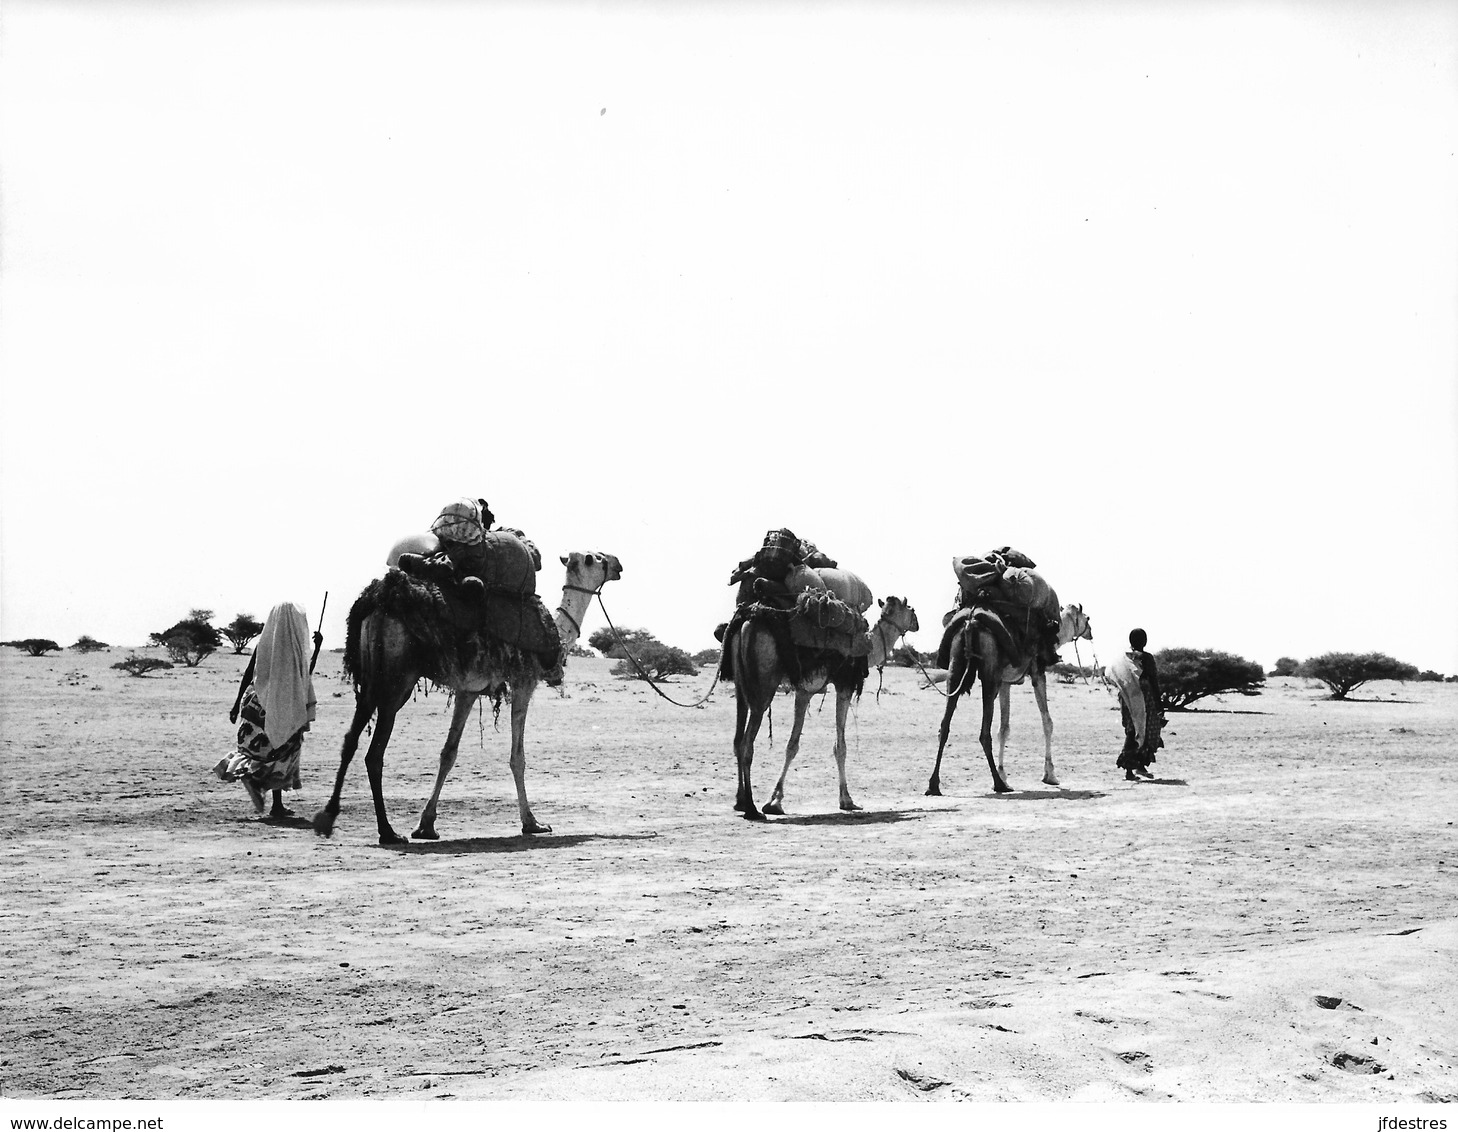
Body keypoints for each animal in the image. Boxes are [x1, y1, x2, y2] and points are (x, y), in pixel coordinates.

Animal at [313, 548, 621, 851]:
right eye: (597, 558)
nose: (618, 565)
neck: (556, 632)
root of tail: (377, 602)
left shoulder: (468, 690)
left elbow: (448, 752)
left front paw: (426, 826)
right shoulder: (524, 680)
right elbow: (517, 756)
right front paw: (532, 823)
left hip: (370, 678)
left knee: (350, 740)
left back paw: (328, 817)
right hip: (397, 680)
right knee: (374, 753)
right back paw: (387, 832)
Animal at [726, 571, 915, 816]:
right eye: (911, 609)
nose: (917, 622)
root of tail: (746, 623)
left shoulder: (804, 691)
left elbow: (792, 745)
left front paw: (775, 801)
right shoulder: (842, 685)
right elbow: (839, 746)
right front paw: (847, 800)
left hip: (741, 686)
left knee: (737, 740)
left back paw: (739, 801)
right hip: (764, 684)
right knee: (747, 743)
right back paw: (751, 808)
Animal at [927, 601, 1090, 793]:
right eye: (1087, 618)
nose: (1090, 631)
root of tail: (970, 623)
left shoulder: (1006, 682)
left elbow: (1004, 728)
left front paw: (1004, 774)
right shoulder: (1037, 673)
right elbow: (1047, 722)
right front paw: (1050, 775)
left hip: (956, 667)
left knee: (944, 726)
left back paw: (933, 785)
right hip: (990, 673)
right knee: (984, 732)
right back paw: (998, 784)